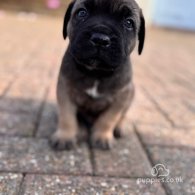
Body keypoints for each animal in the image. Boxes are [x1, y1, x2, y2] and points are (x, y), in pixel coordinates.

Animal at [50, 0, 145, 150]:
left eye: (129, 23)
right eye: (82, 13)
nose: (100, 39)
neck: (96, 72)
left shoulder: (121, 97)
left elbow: (109, 118)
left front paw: (102, 137)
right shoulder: (65, 90)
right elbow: (67, 116)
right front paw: (65, 136)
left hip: (131, 94)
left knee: (122, 116)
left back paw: (120, 127)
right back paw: (80, 130)